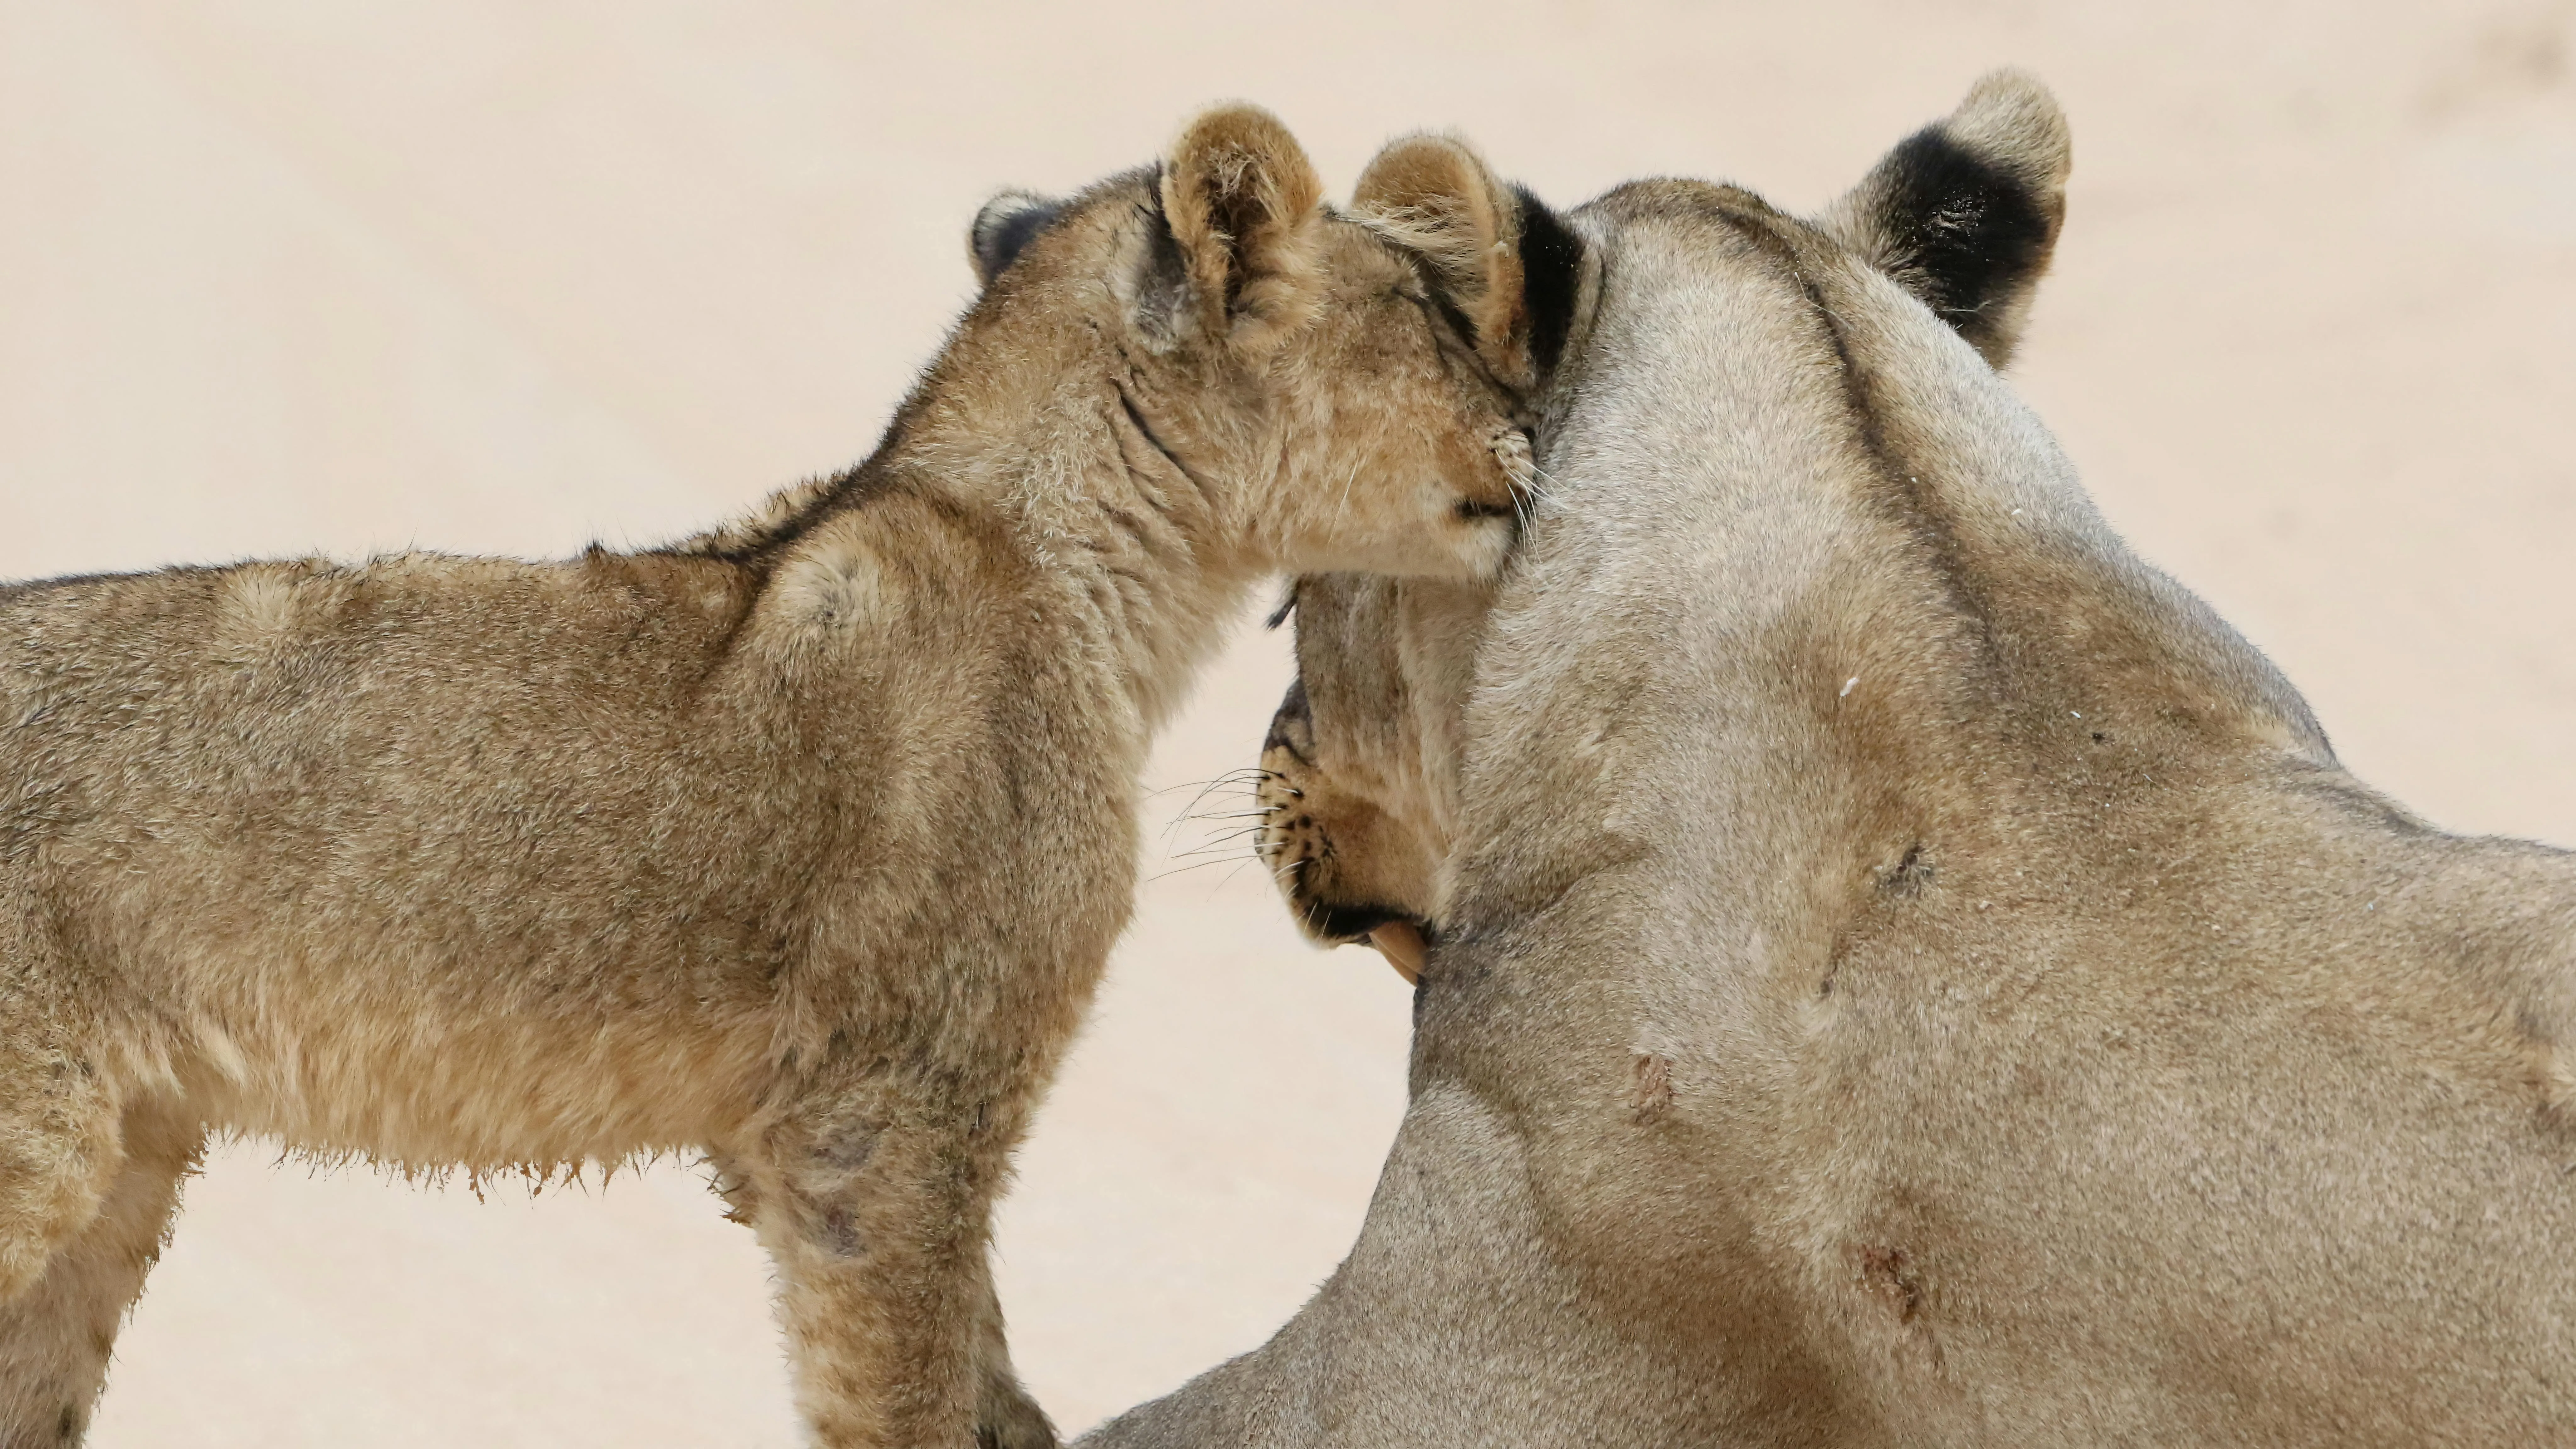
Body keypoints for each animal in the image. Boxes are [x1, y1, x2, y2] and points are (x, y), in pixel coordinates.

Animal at [0, 104, 1545, 1448]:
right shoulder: (885, 1108)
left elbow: (990, 1383)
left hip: (116, 1172)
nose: (1537, 426)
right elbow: (909, 1389)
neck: (1089, 569)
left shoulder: (801, 1130)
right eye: (1433, 314)